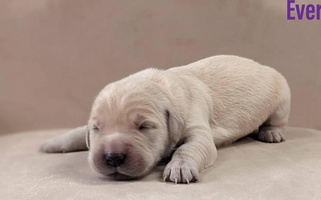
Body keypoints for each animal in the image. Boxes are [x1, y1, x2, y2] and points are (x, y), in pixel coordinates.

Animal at [40, 55, 290, 184]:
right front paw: (52, 143)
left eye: (144, 126)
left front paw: (179, 167)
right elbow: (75, 133)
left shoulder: (196, 127)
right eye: (96, 128)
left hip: (282, 97)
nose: (113, 157)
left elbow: (190, 147)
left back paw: (270, 132)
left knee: (276, 120)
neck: (163, 87)